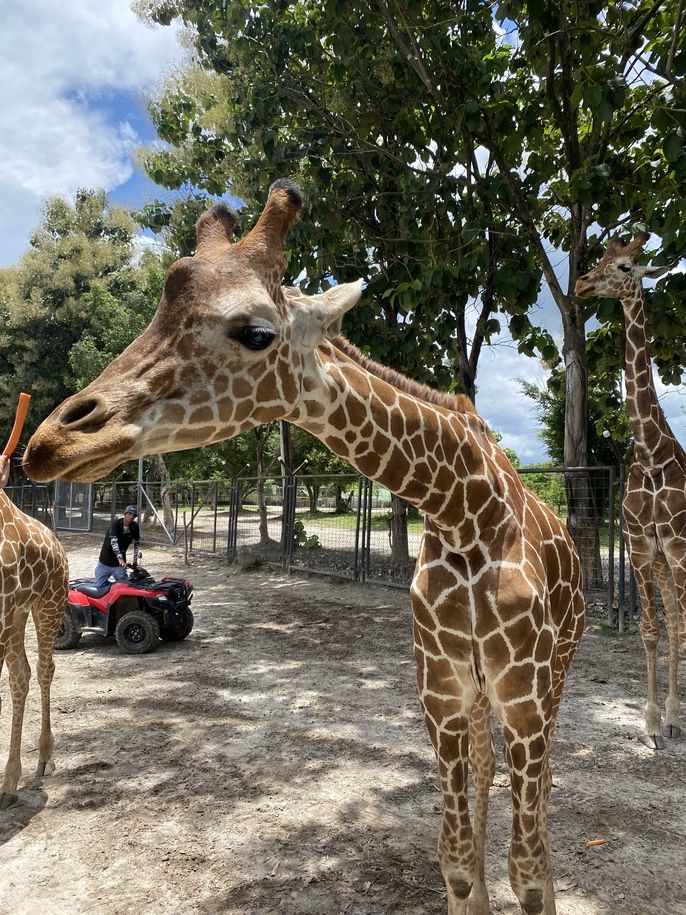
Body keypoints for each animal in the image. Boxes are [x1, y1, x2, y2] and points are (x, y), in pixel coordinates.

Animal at [25, 181, 584, 915]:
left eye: (256, 332)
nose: (53, 441)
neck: (466, 514)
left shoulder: (524, 695)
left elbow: (532, 869)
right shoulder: (440, 692)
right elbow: (457, 861)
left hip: (553, 677)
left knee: (539, 789)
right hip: (481, 696)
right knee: (488, 777)